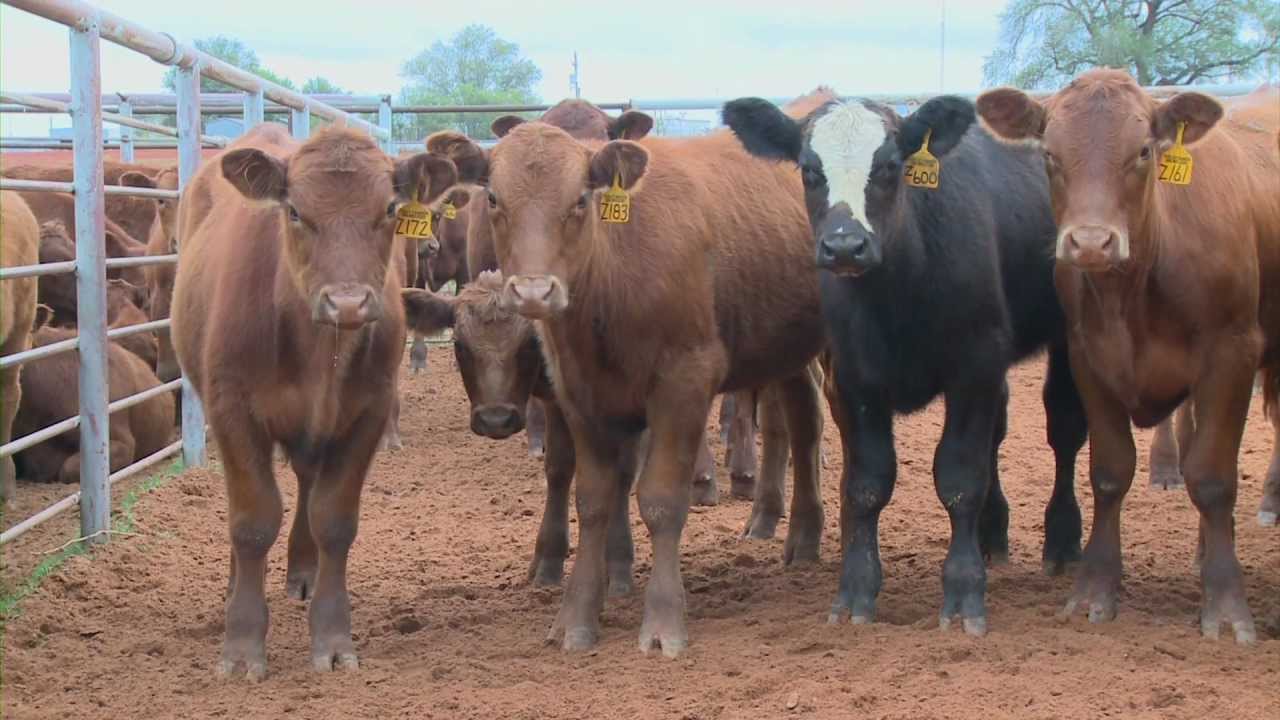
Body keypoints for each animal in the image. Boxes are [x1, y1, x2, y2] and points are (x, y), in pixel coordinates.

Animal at [170, 123, 456, 679]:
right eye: (295, 211)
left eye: (390, 208)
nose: (347, 302)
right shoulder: (231, 410)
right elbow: (252, 522)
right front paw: (242, 645)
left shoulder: (367, 413)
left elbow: (334, 522)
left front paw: (332, 637)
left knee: (305, 484)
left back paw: (302, 570)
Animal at [425, 93, 831, 658]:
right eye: (494, 199)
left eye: (580, 200)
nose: (534, 292)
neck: (616, 271)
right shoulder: (581, 395)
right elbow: (592, 499)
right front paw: (575, 619)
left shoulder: (684, 384)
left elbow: (660, 500)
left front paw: (662, 622)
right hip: (788, 347)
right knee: (802, 419)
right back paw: (799, 534)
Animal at [723, 92, 1087, 636]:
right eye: (808, 169)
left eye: (890, 166)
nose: (845, 246)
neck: (898, 293)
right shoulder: (856, 380)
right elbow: (868, 483)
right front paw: (855, 591)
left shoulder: (973, 368)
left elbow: (960, 479)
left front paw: (963, 593)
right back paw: (992, 534)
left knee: (1063, 431)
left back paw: (1062, 541)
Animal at [976, 71, 1280, 645]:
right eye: (1049, 153)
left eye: (1143, 151)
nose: (1091, 243)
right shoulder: (1088, 359)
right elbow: (1110, 472)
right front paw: (1095, 592)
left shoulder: (1232, 354)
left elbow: (1212, 478)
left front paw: (1226, 606)